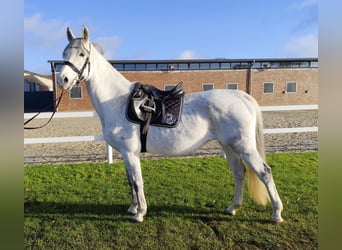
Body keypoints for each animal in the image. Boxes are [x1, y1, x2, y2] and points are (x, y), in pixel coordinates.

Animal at [58, 26, 284, 224]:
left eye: (81, 54)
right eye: (64, 53)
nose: (63, 79)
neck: (118, 102)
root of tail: (243, 96)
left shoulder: (130, 153)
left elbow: (138, 182)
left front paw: (140, 213)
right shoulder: (125, 153)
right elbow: (131, 182)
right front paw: (133, 207)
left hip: (244, 147)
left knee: (265, 173)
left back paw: (276, 213)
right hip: (228, 146)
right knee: (239, 173)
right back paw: (232, 208)